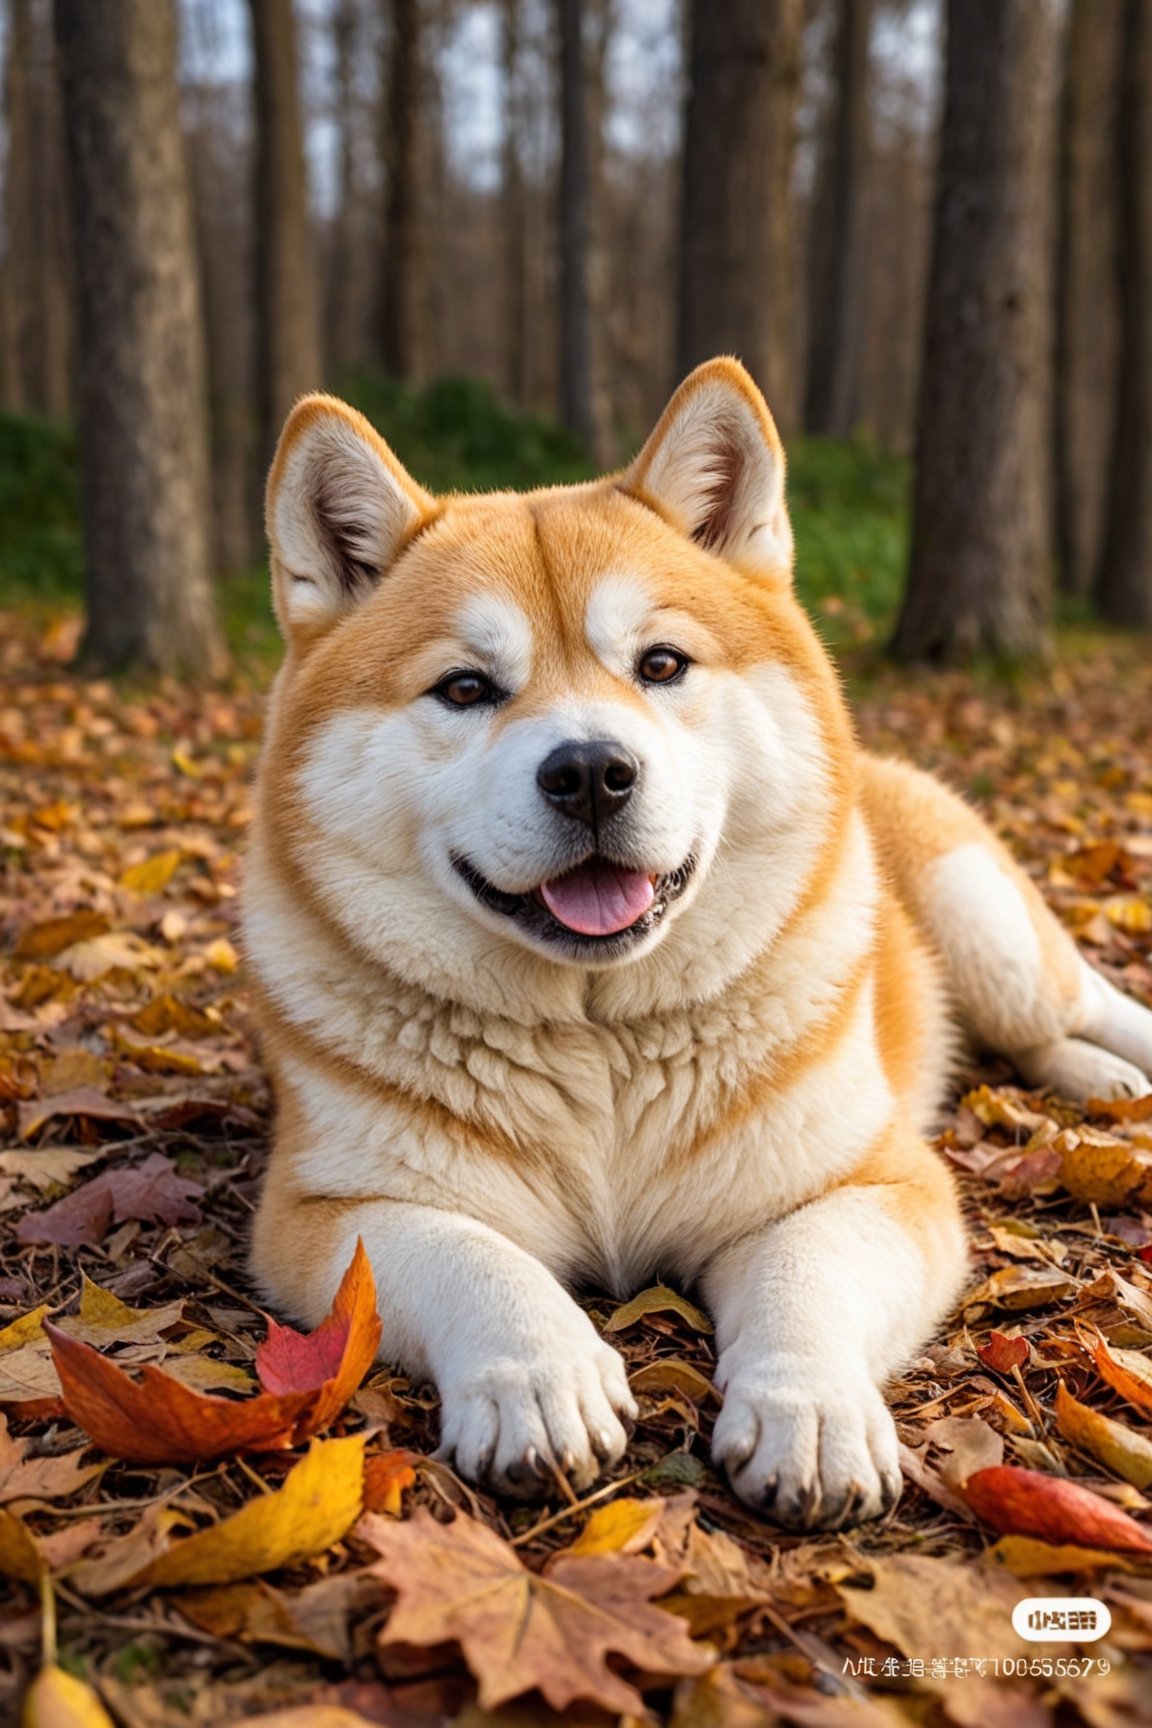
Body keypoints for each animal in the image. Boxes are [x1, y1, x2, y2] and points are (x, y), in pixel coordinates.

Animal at [248, 361, 1152, 1527]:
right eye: (465, 688)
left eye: (662, 663)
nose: (591, 771)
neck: (601, 1048)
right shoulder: (330, 1214)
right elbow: (473, 1257)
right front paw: (538, 1375)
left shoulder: (872, 1183)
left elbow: (807, 1270)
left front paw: (810, 1406)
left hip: (992, 937)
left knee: (1083, 1006)